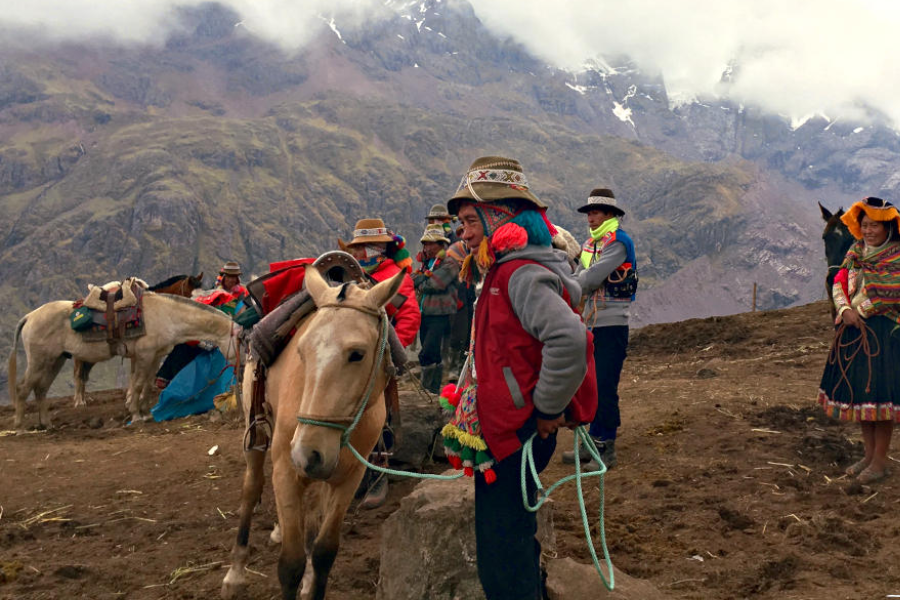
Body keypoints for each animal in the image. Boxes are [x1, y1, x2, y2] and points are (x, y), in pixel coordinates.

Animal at [10, 292, 236, 428]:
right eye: (241, 339)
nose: (238, 368)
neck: (167, 314)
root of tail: (30, 316)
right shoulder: (144, 355)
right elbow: (138, 385)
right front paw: (136, 415)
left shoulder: (155, 356)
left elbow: (146, 385)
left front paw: (145, 413)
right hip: (39, 360)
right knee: (23, 388)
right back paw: (20, 426)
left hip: (55, 360)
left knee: (41, 389)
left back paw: (47, 424)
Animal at [72, 274, 206, 408]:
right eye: (191, 295)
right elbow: (135, 373)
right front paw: (131, 400)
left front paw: (135, 398)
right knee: (78, 373)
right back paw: (79, 402)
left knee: (84, 374)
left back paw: (83, 399)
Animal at [221, 266, 404, 600]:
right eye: (302, 352)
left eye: (357, 353)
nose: (305, 452)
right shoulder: (286, 468)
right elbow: (290, 564)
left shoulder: (349, 477)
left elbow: (322, 552)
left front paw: (311, 580)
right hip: (258, 441)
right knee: (252, 488)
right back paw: (235, 573)